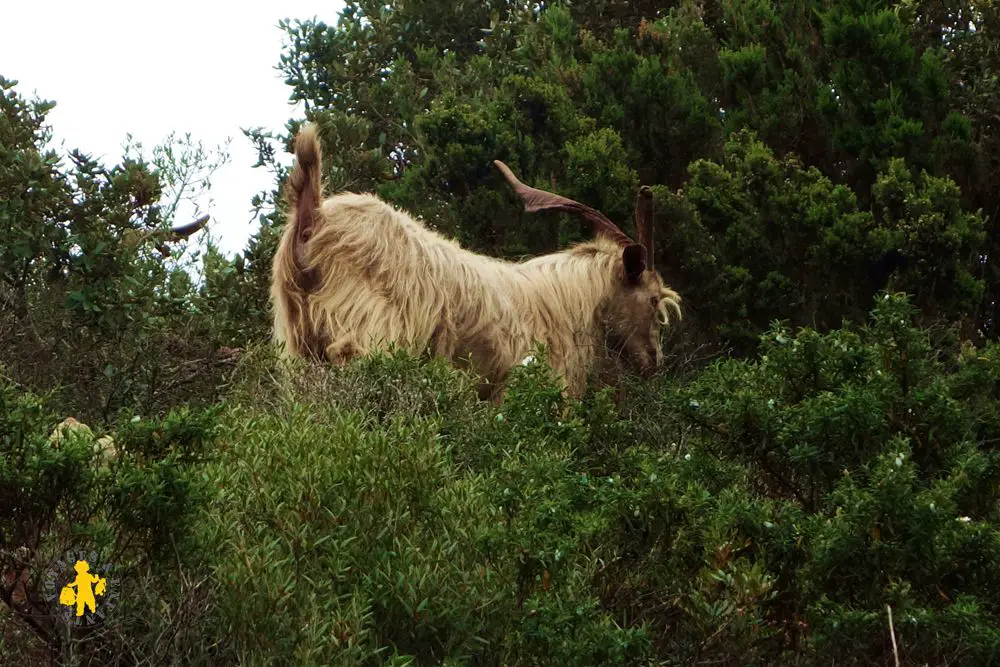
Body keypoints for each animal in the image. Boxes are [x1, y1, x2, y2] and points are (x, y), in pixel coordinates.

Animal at [270, 122, 684, 400]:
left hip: (298, 343)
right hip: (371, 332)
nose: (654, 362)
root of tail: (314, 218)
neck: (566, 302)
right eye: (653, 299)